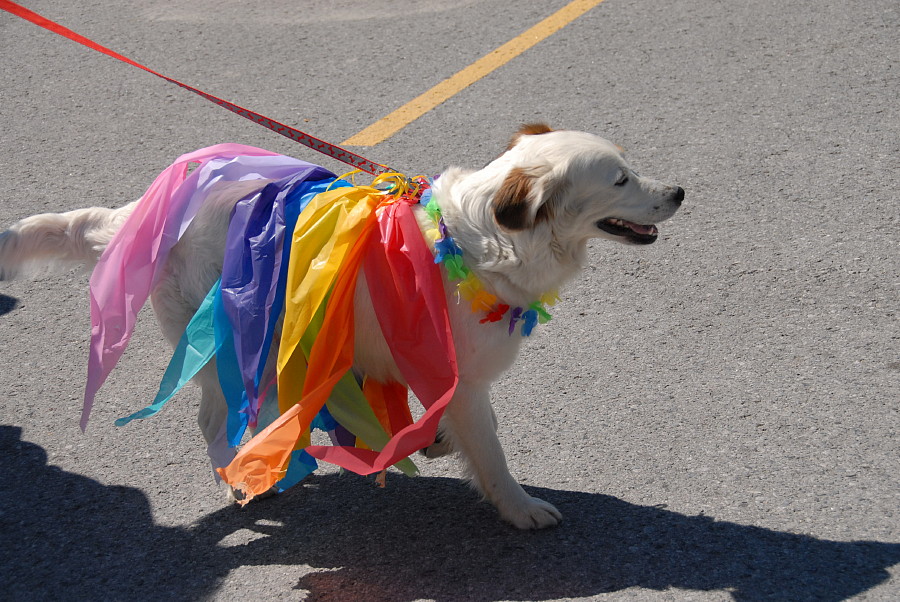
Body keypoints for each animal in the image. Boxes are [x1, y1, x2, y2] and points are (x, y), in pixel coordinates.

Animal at [0, 125, 684, 524]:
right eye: (619, 179)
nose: (678, 191)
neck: (479, 240)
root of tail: (140, 215)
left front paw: (437, 441)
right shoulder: (466, 378)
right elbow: (491, 453)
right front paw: (519, 508)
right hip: (226, 344)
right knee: (213, 420)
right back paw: (241, 479)